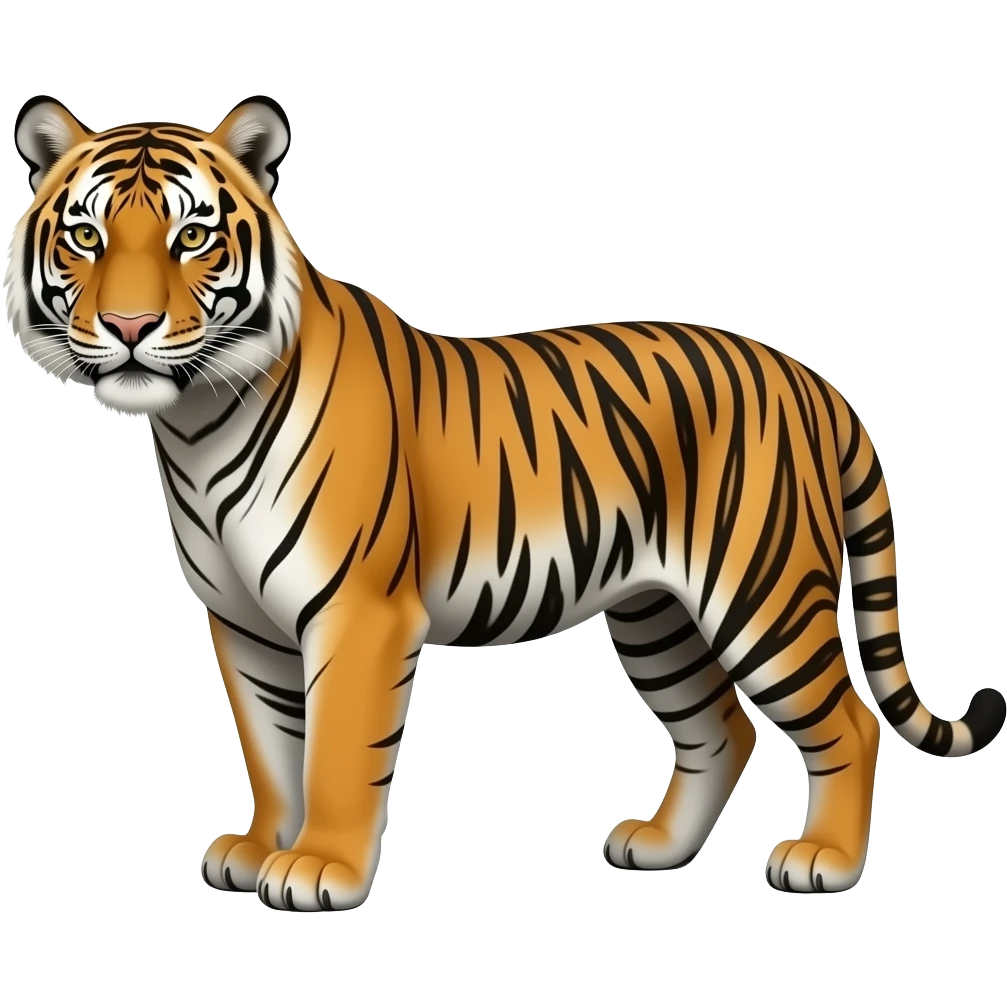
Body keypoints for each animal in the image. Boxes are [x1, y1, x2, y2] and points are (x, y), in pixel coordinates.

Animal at [6, 93, 1004, 911]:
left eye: (192, 238)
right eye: (87, 237)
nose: (129, 328)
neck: (197, 420)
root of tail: (810, 378)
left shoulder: (358, 613)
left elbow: (333, 752)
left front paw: (320, 868)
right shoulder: (243, 623)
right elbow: (272, 748)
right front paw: (257, 850)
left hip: (762, 592)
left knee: (847, 721)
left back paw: (823, 861)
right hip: (656, 614)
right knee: (719, 727)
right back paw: (656, 846)